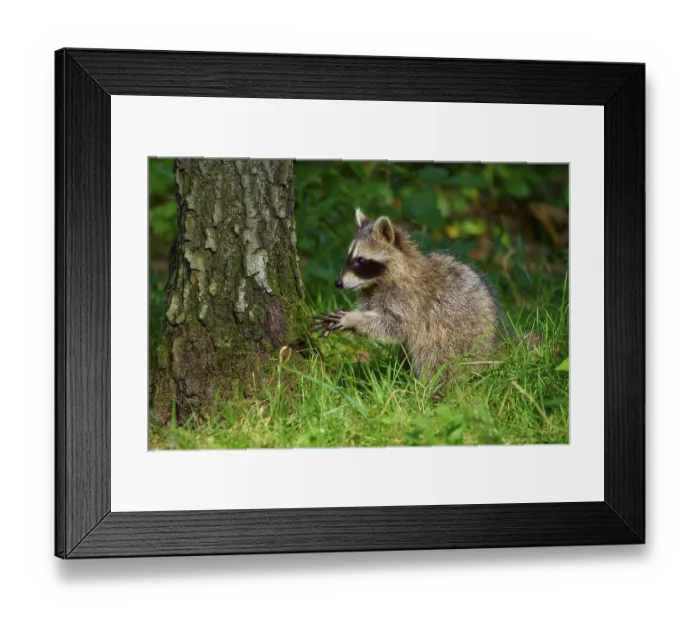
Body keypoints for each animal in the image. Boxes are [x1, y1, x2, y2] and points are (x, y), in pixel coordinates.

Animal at [311, 209, 507, 381]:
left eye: (361, 260)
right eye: (348, 258)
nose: (338, 283)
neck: (376, 283)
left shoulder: (410, 300)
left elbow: (394, 325)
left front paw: (353, 319)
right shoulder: (371, 294)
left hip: (459, 338)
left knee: (435, 359)